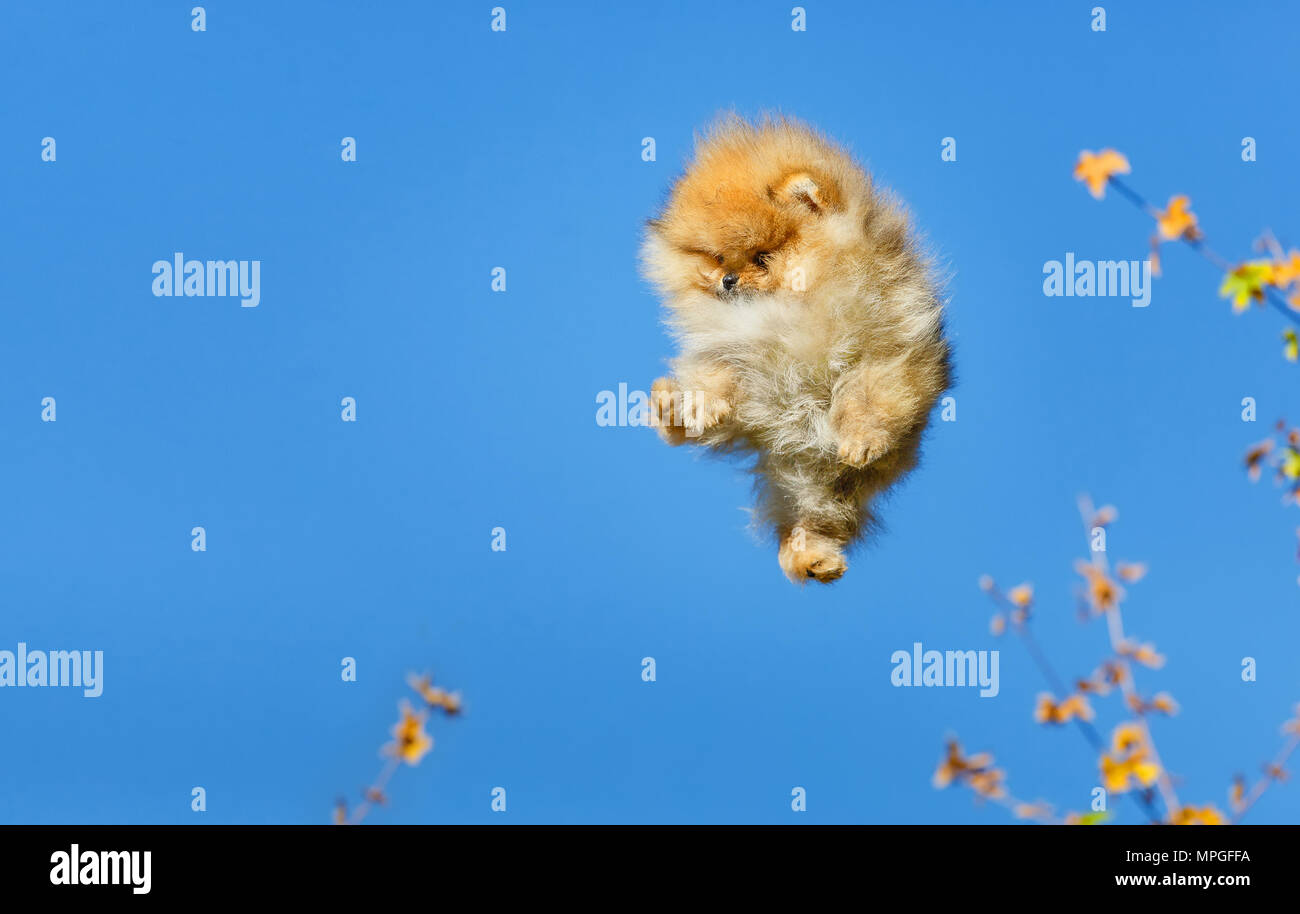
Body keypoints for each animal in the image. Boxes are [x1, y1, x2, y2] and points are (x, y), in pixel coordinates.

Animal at [644, 116, 951, 587]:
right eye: (717, 258)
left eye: (762, 257)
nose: (728, 280)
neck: (790, 307)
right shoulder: (734, 351)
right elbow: (717, 375)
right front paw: (699, 404)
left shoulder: (883, 350)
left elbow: (863, 398)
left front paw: (860, 439)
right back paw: (669, 407)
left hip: (824, 480)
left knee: (817, 514)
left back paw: (812, 556)